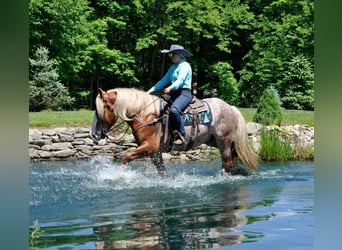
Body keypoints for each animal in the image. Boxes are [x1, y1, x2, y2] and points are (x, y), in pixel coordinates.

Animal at [89, 88, 258, 176]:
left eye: (103, 109)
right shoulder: (154, 152)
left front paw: (119, 177)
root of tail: (231, 107)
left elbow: (126, 156)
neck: (146, 115)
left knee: (227, 162)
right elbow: (161, 170)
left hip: (224, 140)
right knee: (233, 157)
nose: (94, 134)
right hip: (215, 141)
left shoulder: (149, 147)